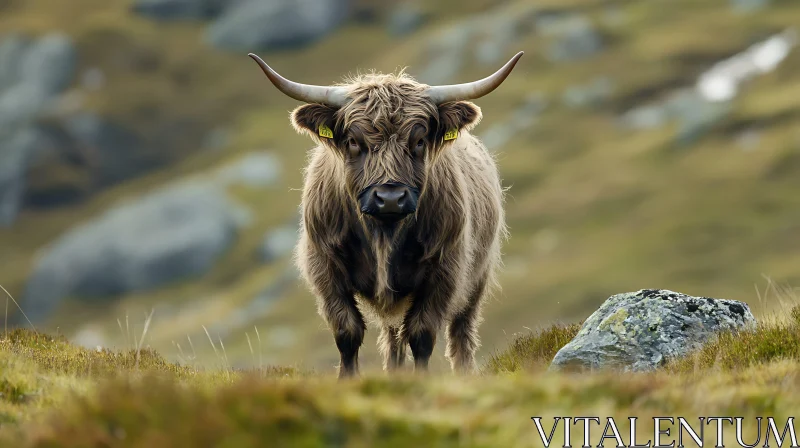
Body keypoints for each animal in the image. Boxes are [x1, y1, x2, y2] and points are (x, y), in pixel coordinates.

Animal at [250, 50, 520, 376]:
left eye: (419, 141)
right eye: (354, 141)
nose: (390, 198)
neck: (383, 234)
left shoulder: (445, 269)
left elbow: (421, 333)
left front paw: (421, 380)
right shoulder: (324, 265)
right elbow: (347, 331)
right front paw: (348, 379)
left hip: (477, 277)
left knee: (460, 331)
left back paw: (463, 373)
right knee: (393, 335)